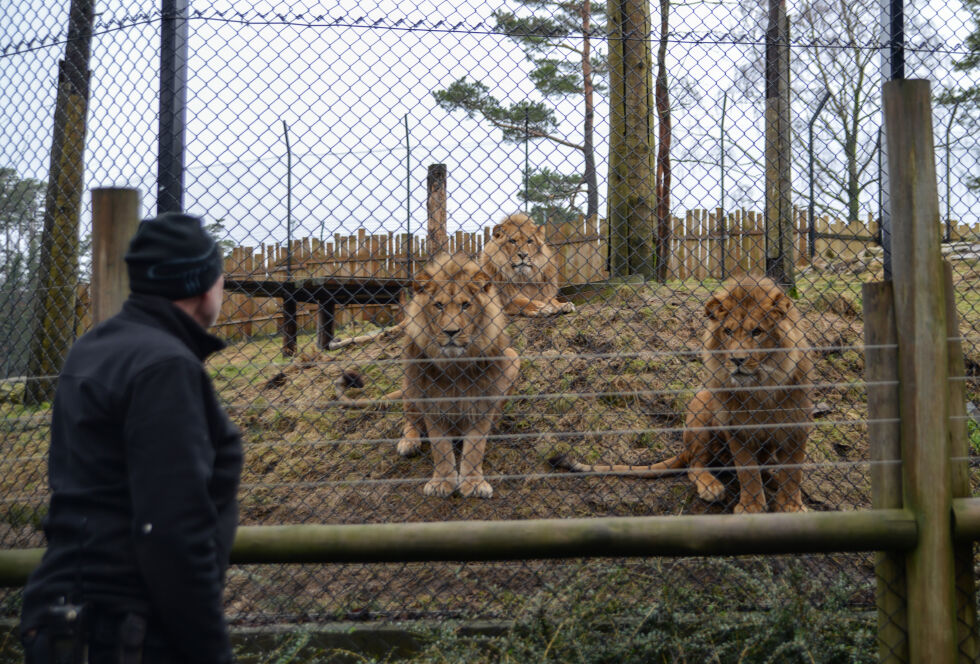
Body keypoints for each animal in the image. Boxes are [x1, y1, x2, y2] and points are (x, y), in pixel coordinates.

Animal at [396, 253, 524, 498]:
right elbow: (440, 447)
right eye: (438, 305)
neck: (456, 366)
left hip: (513, 357)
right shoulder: (432, 401)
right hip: (410, 381)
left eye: (466, 305)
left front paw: (473, 483)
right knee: (411, 420)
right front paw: (442, 483)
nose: (451, 332)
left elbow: (474, 447)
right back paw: (409, 443)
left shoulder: (483, 400)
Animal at [552, 274, 812, 512]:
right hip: (702, 405)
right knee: (695, 465)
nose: (736, 360)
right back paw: (711, 487)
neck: (760, 388)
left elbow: (794, 472)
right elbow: (748, 473)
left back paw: (772, 480)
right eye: (728, 331)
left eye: (757, 332)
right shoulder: (736, 428)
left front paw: (792, 507)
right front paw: (751, 508)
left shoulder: (797, 426)